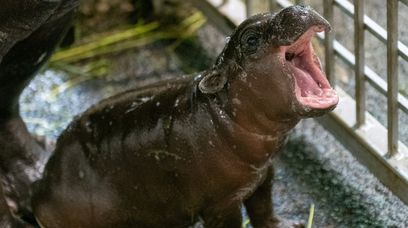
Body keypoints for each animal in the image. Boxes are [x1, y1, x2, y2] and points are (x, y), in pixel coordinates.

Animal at [31, 5, 338, 228]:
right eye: (250, 39)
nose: (298, 7)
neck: (222, 112)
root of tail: (42, 187)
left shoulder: (265, 173)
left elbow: (264, 209)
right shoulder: (221, 204)